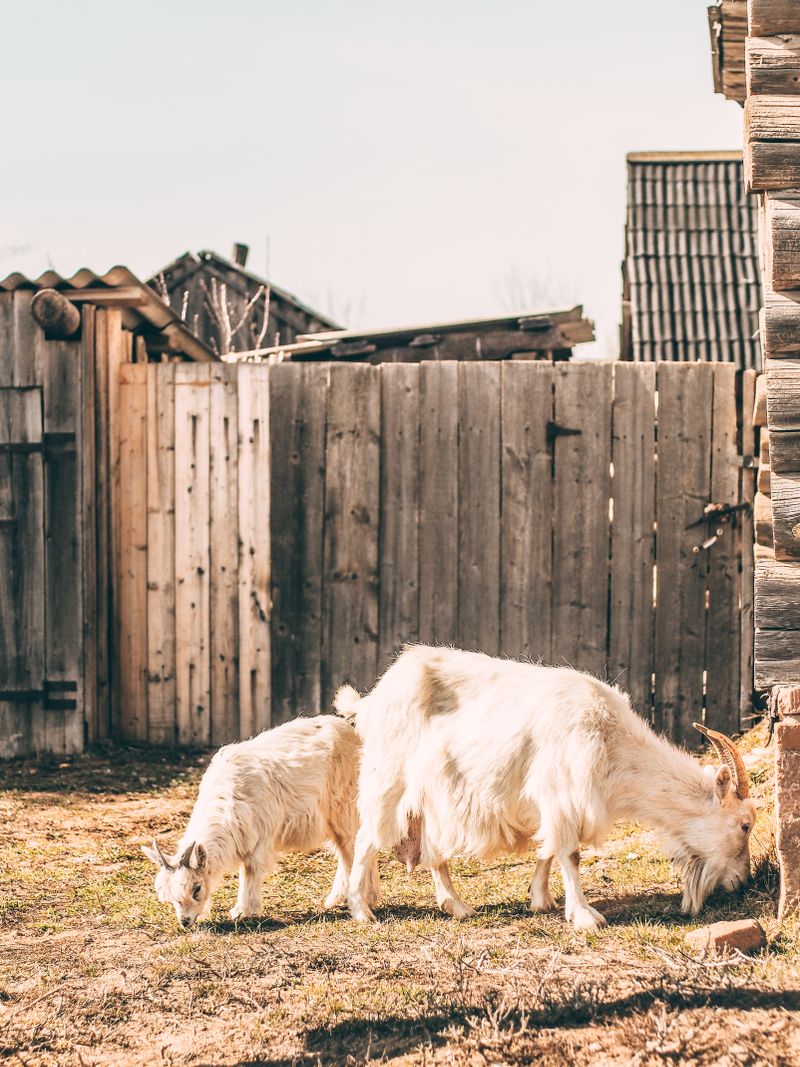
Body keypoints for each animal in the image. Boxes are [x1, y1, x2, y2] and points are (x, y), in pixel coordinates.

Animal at [142, 715, 376, 927]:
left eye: (196, 888)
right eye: (170, 897)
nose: (185, 922)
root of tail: (352, 732)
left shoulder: (261, 834)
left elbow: (250, 870)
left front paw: (243, 911)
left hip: (345, 808)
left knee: (353, 849)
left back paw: (364, 898)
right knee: (346, 852)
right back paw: (340, 899)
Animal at [336, 645, 756, 931]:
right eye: (745, 824)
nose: (743, 882)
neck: (611, 739)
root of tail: (373, 699)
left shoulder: (554, 801)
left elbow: (549, 849)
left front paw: (542, 900)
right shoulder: (564, 791)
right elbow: (569, 852)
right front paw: (585, 915)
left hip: (431, 795)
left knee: (431, 849)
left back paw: (457, 906)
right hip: (388, 779)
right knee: (366, 840)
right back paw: (361, 910)